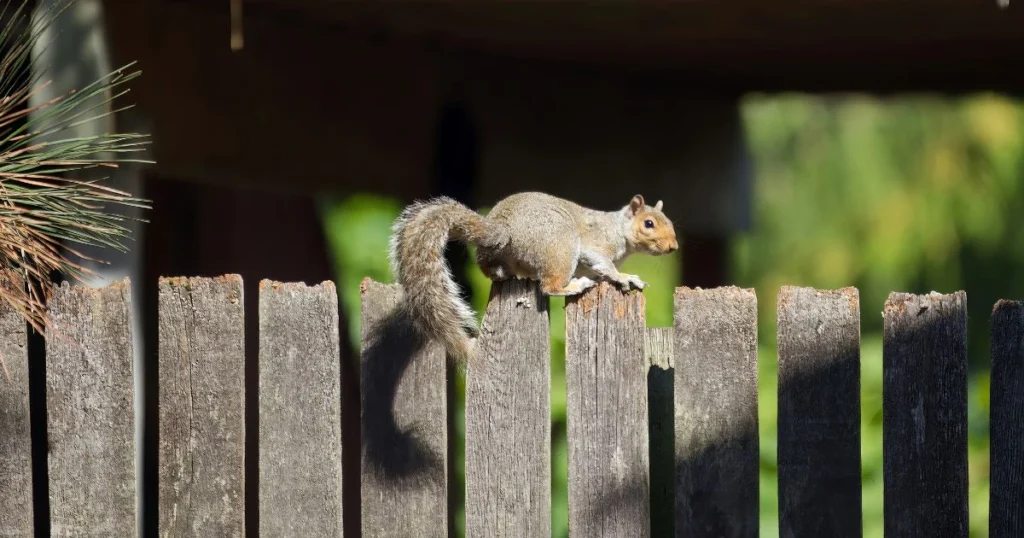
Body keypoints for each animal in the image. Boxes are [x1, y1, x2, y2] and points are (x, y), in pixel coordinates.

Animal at [387, 190, 675, 362]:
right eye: (649, 224)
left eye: (670, 223)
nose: (673, 247)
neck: (618, 229)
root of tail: (502, 229)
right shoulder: (596, 246)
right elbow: (604, 265)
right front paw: (625, 277)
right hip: (561, 246)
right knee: (549, 286)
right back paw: (574, 285)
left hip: (499, 258)